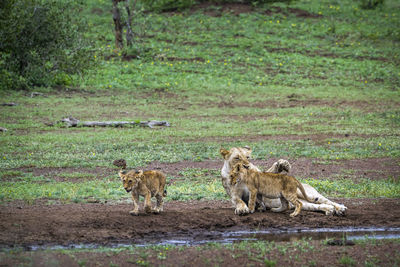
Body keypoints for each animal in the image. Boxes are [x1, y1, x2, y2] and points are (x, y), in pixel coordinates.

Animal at [220, 148, 348, 217]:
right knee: (315, 205)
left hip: (307, 194)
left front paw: (282, 164)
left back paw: (340, 208)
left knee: (326, 200)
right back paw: (329, 210)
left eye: (248, 157)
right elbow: (239, 201)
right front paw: (243, 209)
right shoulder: (235, 194)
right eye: (237, 158)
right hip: (300, 202)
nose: (247, 165)